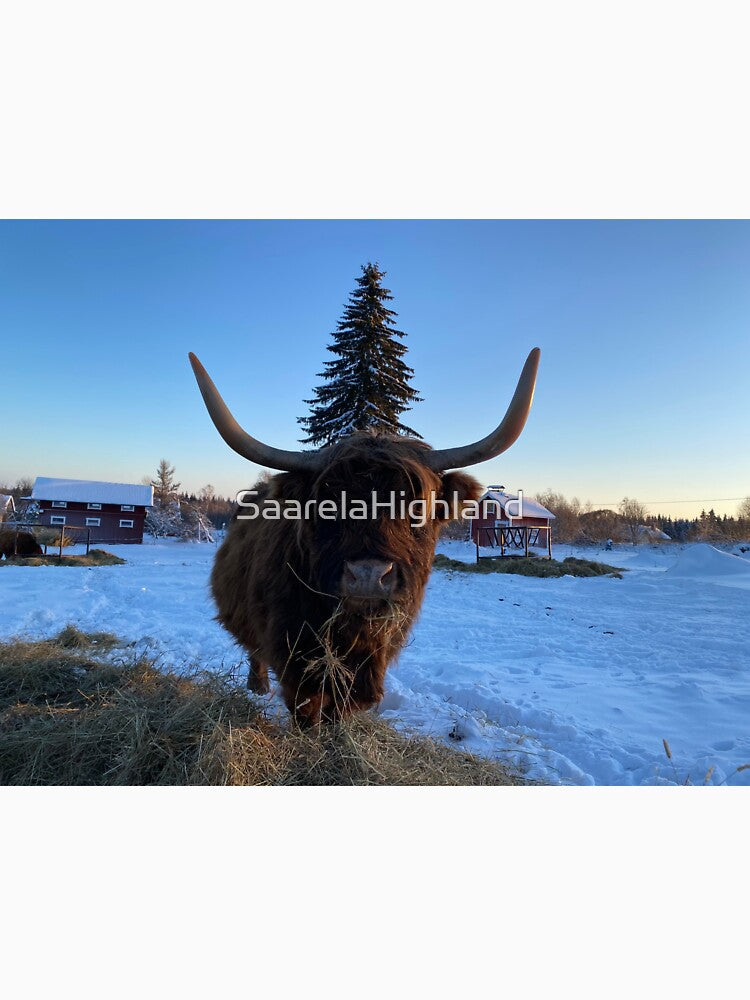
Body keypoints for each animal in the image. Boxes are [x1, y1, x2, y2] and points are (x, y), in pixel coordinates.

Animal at [189, 348, 540, 725]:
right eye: (327, 503)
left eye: (417, 505)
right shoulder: (294, 657)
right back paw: (257, 687)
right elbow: (307, 711)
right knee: (254, 653)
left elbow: (340, 711)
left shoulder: (370, 665)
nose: (369, 575)